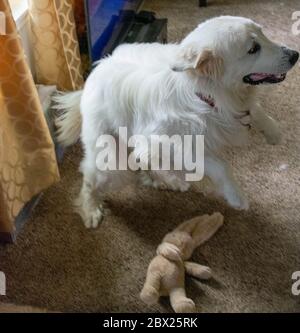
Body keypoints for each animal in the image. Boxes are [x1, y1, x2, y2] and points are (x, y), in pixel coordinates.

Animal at [54, 16, 298, 228]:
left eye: (263, 34)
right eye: (253, 49)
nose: (295, 55)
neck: (204, 93)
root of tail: (94, 73)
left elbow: (255, 111)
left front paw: (273, 132)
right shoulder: (175, 143)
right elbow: (220, 166)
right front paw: (236, 197)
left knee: (142, 158)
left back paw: (168, 181)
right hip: (112, 160)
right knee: (90, 180)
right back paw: (91, 210)